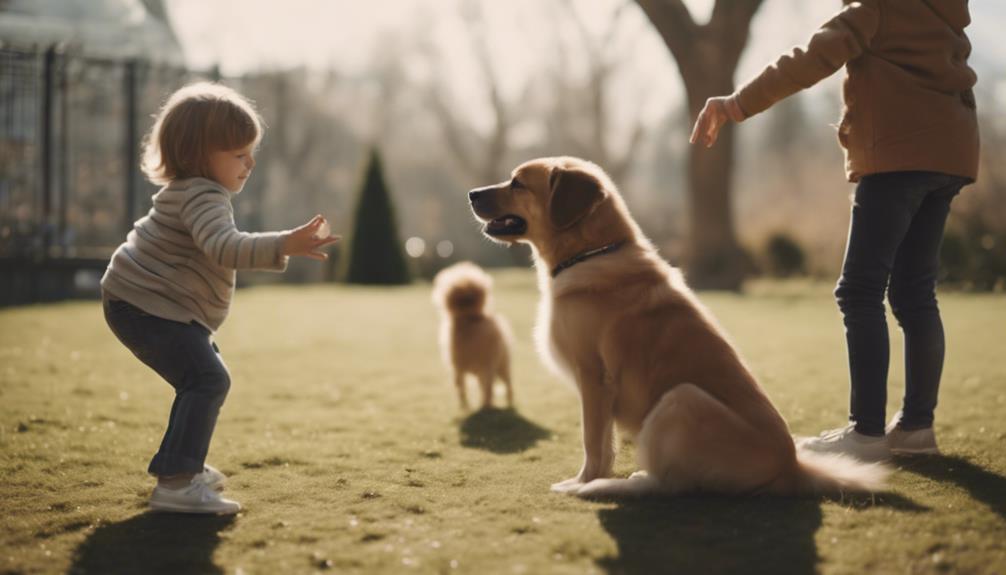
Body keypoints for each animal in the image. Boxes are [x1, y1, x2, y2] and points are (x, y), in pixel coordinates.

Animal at [430, 263, 515, 410]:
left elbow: (467, 388)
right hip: (490, 367)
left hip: (500, 366)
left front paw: (469, 407)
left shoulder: (471, 366)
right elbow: (462, 388)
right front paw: (466, 407)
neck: (469, 319)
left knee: (505, 386)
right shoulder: (459, 368)